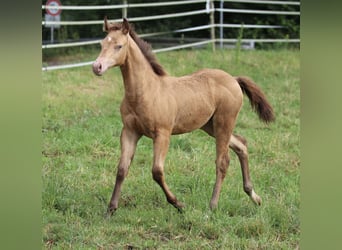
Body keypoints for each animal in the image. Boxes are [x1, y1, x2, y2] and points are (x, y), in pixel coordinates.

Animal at [92, 17, 274, 215]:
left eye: (119, 46)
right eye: (102, 43)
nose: (97, 67)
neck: (146, 91)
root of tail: (233, 79)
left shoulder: (162, 134)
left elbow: (157, 171)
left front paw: (179, 204)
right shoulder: (130, 131)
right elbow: (122, 169)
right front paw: (110, 210)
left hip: (224, 121)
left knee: (223, 161)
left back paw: (212, 206)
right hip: (210, 126)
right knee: (241, 145)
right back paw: (254, 196)